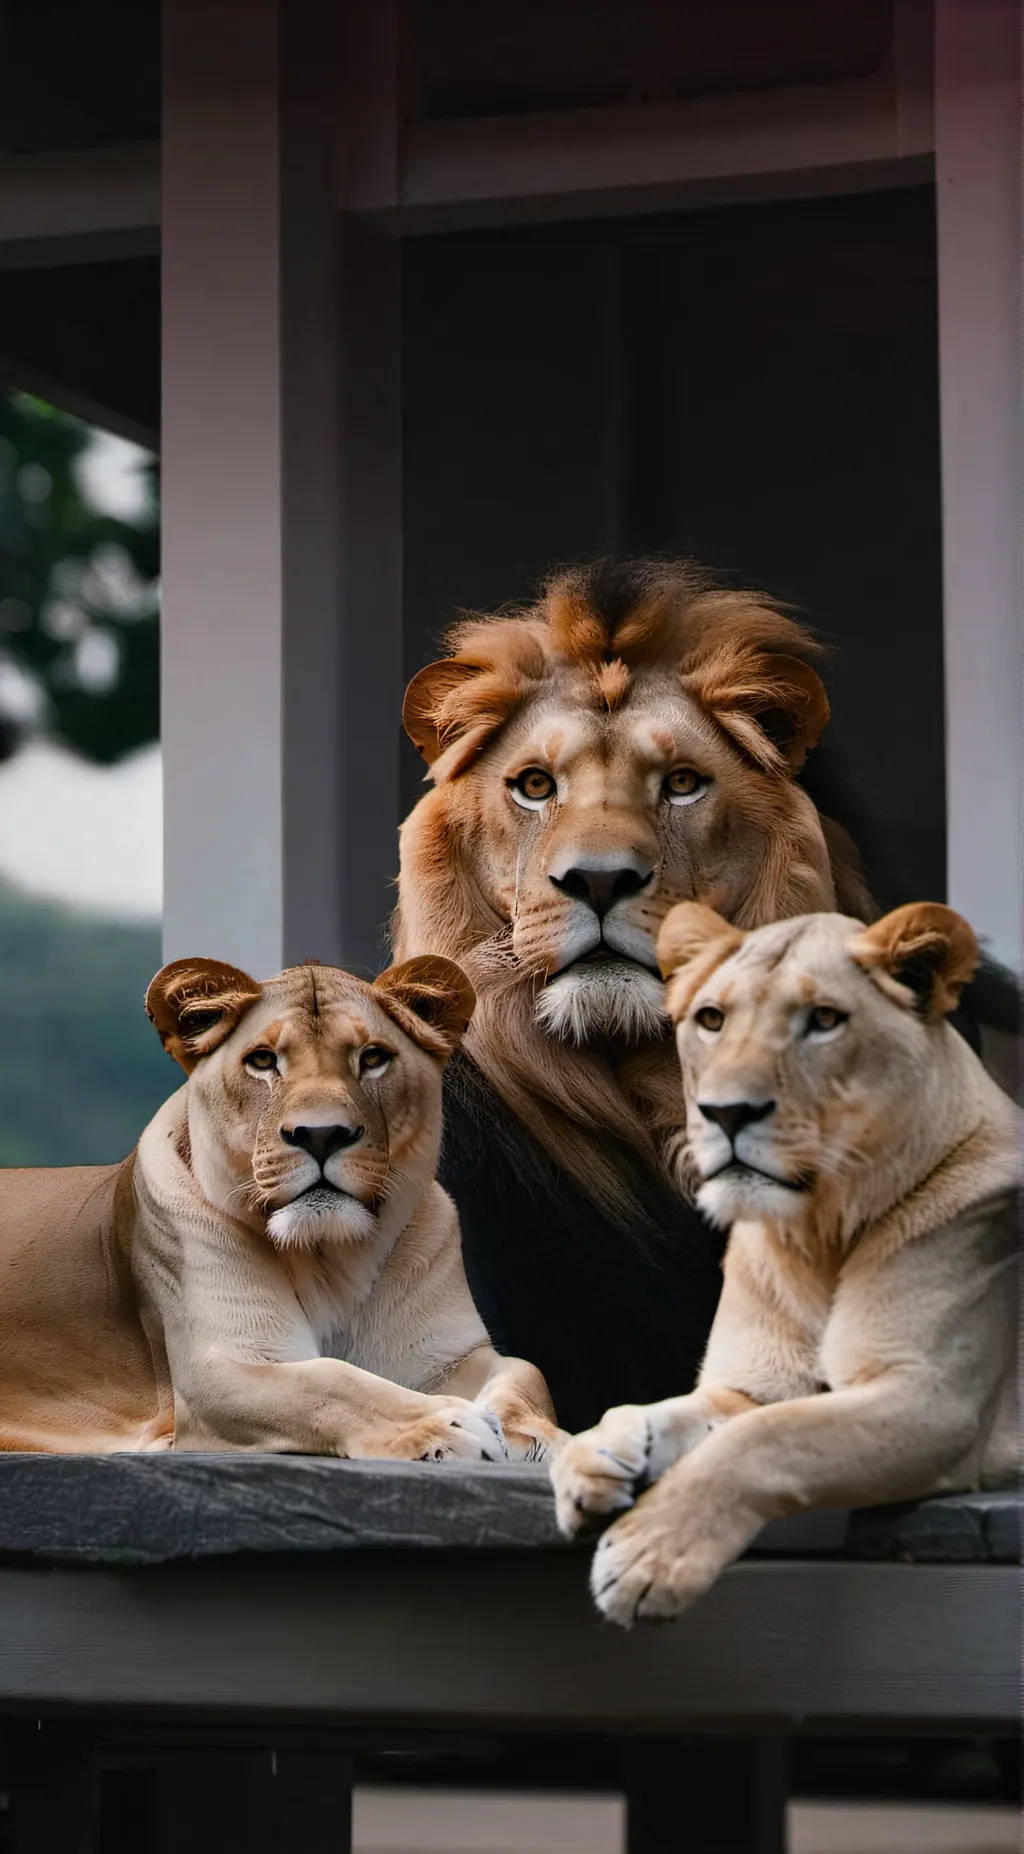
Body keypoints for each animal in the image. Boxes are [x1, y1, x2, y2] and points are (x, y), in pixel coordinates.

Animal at [0, 954, 560, 1462]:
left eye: (372, 1057)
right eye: (263, 1060)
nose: (321, 1134)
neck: (331, 1256)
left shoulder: (446, 1357)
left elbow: (526, 1371)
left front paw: (538, 1438)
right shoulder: (220, 1369)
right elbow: (332, 1381)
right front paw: (447, 1425)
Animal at [551, 901, 1019, 1625]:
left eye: (823, 1019)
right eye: (712, 1019)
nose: (726, 1113)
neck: (815, 1236)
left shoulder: (936, 1399)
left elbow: (767, 1440)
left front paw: (649, 1558)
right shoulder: (749, 1384)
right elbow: (677, 1411)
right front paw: (596, 1453)